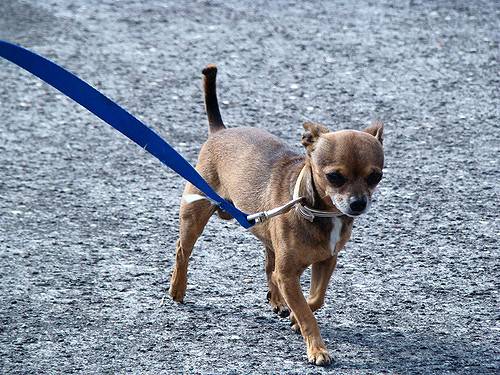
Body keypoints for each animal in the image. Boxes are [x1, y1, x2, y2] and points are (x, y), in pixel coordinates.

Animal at [170, 65, 384, 368]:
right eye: (334, 177)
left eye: (376, 176)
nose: (358, 203)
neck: (318, 211)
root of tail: (219, 131)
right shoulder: (288, 274)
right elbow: (307, 313)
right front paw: (317, 349)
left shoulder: (326, 261)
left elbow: (315, 299)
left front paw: (294, 316)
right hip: (194, 214)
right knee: (182, 250)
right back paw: (177, 289)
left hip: (267, 233)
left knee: (268, 264)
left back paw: (278, 301)